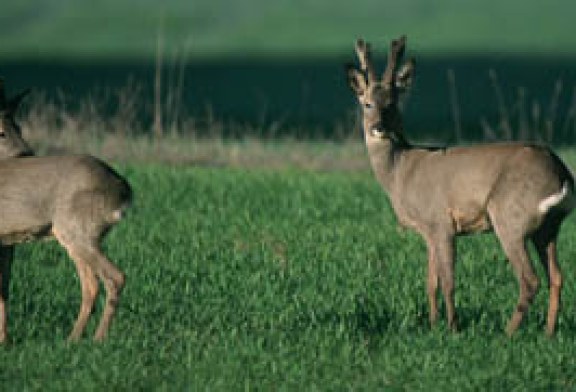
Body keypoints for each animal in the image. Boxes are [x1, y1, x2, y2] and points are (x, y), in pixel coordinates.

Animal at [0, 81, 132, 342]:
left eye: (19, 127)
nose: (26, 153)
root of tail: (122, 188)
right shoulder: (6, 242)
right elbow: (4, 289)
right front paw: (4, 341)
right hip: (78, 235)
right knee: (91, 284)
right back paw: (73, 339)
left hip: (76, 229)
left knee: (114, 277)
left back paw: (97, 339)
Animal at [346, 36, 576, 336]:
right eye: (367, 103)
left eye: (393, 103)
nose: (378, 127)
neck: (400, 173)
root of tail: (562, 175)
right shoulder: (429, 230)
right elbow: (430, 282)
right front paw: (433, 326)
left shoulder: (441, 221)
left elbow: (448, 281)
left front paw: (453, 329)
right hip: (548, 227)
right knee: (557, 277)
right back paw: (548, 333)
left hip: (510, 217)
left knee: (530, 279)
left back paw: (508, 333)